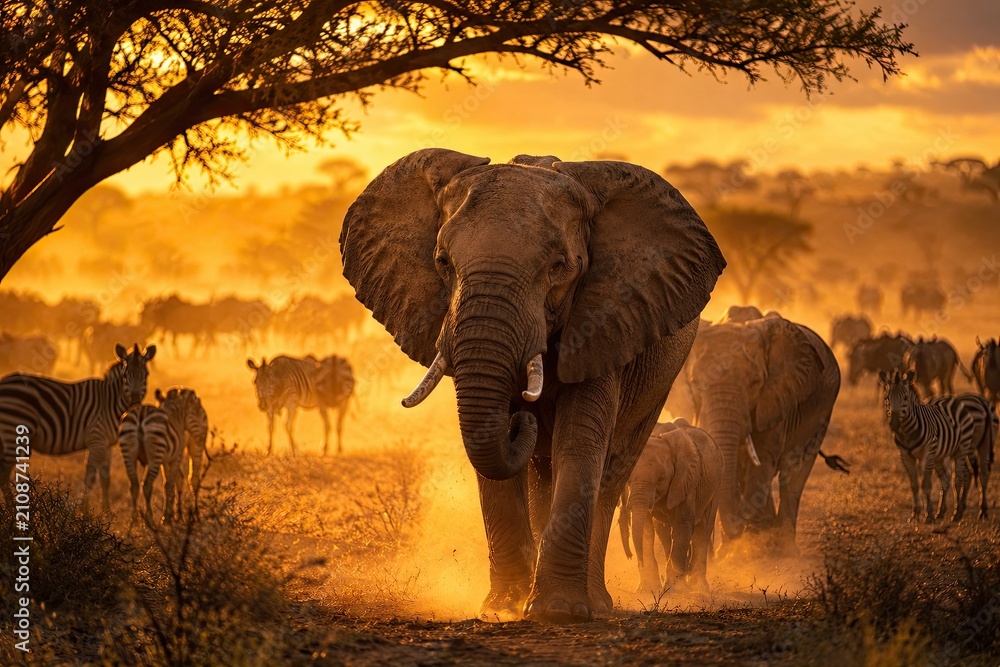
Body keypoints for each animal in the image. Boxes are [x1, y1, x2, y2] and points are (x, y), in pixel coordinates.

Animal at [0, 343, 156, 510]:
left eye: (146, 374)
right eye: (125, 375)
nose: (135, 400)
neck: (110, 402)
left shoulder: (106, 444)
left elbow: (106, 479)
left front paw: (107, 511)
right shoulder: (96, 440)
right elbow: (90, 477)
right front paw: (84, 510)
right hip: (13, 430)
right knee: (3, 474)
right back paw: (10, 508)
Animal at [618, 419, 723, 594]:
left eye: (661, 479)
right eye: (629, 480)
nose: (630, 556)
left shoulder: (686, 480)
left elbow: (682, 524)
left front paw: (675, 590)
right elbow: (646, 529)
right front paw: (647, 589)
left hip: (715, 485)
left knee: (702, 531)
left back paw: (698, 585)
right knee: (665, 533)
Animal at [685, 314, 845, 553]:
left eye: (755, 383)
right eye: (695, 383)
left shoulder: (778, 399)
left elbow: (764, 458)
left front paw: (755, 542)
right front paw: (731, 551)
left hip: (824, 410)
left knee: (794, 469)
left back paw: (785, 549)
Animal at [880, 369, 995, 521]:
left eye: (905, 398)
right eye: (886, 398)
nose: (894, 424)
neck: (907, 432)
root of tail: (983, 403)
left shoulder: (928, 453)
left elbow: (926, 484)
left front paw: (928, 514)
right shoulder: (906, 456)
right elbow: (915, 484)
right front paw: (915, 514)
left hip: (968, 447)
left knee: (964, 477)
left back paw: (965, 513)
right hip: (946, 453)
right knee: (954, 477)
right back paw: (952, 512)